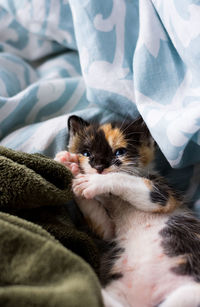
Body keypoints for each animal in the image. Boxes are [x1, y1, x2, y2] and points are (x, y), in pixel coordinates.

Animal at [54, 116, 200, 307]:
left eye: (119, 152)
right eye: (86, 153)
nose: (99, 166)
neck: (116, 200)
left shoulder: (163, 195)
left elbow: (122, 177)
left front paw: (93, 181)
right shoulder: (108, 229)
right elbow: (103, 225)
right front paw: (69, 166)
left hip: (191, 291)